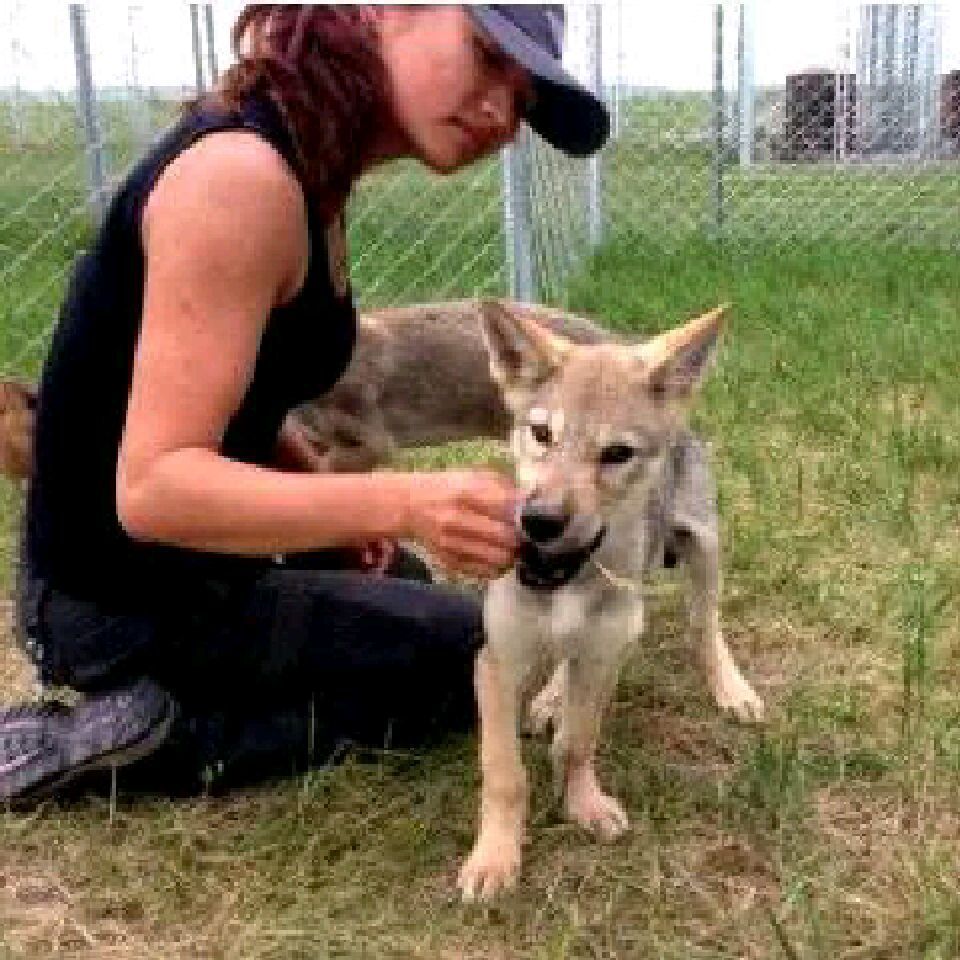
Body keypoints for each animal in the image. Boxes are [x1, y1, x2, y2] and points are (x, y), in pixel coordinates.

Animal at [456, 301, 764, 902]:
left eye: (617, 453)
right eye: (541, 433)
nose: (538, 521)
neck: (565, 575)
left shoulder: (603, 657)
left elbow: (579, 741)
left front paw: (583, 805)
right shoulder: (497, 662)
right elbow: (505, 773)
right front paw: (495, 858)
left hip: (705, 551)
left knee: (705, 626)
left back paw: (731, 688)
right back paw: (549, 698)